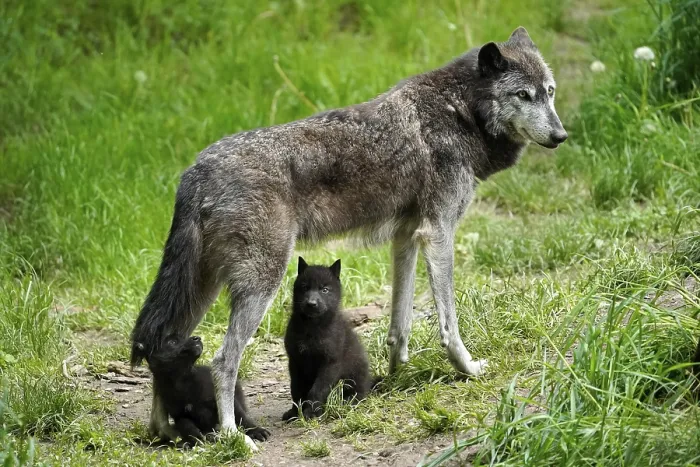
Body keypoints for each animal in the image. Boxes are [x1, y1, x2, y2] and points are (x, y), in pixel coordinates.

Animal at [135, 335, 270, 446]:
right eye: (172, 342)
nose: (197, 338)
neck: (183, 380)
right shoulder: (180, 414)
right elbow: (186, 425)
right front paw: (195, 437)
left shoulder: (220, 399)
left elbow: (241, 416)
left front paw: (256, 431)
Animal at [282, 257, 373, 421]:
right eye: (305, 287)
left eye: (324, 290)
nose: (311, 303)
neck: (312, 327)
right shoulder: (295, 361)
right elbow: (296, 389)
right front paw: (294, 413)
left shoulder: (330, 363)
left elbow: (317, 390)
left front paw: (311, 413)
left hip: (355, 374)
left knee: (359, 393)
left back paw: (347, 402)